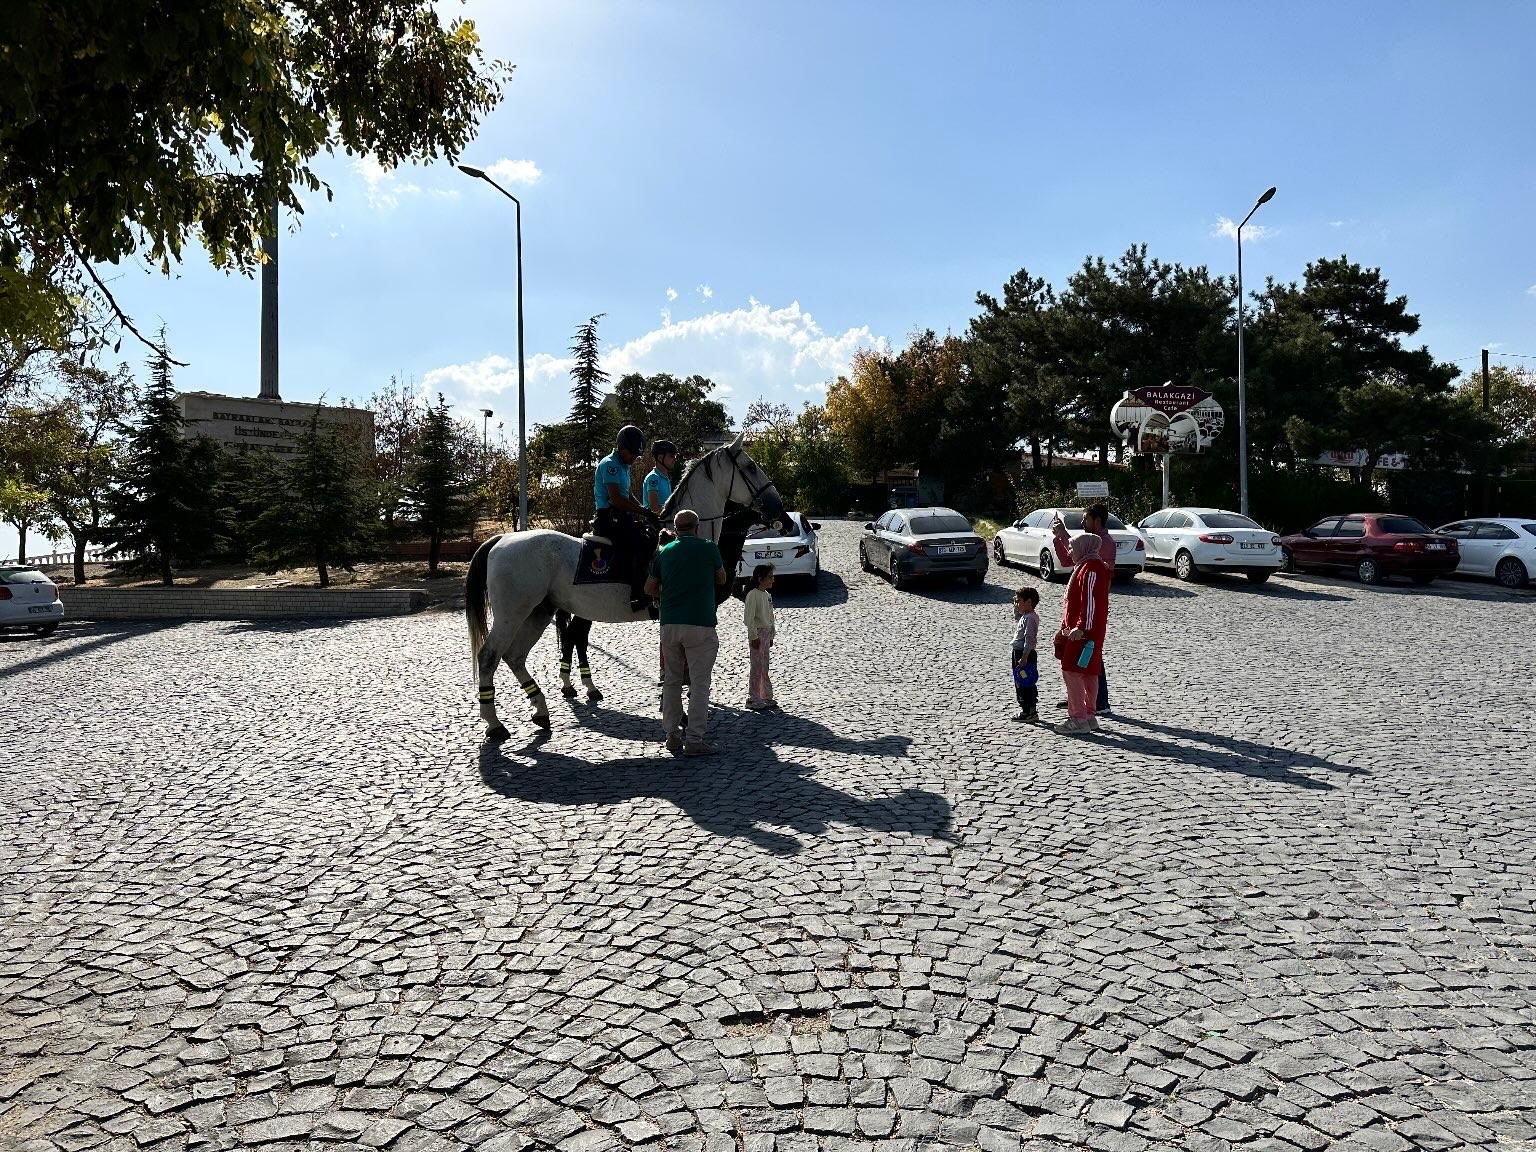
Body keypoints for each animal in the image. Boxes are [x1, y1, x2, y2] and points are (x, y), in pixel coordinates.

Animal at [463, 436, 780, 743]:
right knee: (490, 656)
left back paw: (542, 709)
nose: (779, 509)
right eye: (751, 467)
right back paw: (495, 724)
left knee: (519, 654)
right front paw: (679, 709)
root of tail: (502, 539)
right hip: (512, 615)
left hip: (540, 612)